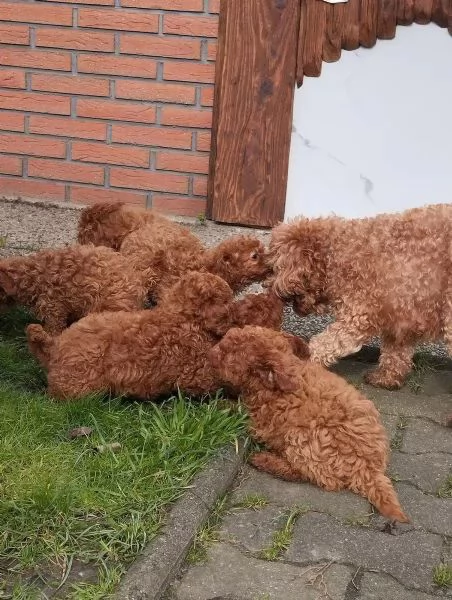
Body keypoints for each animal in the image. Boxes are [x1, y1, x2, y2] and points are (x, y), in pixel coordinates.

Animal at [210, 326, 408, 524]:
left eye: (227, 353)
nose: (211, 352)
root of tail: (369, 469)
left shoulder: (259, 418)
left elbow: (236, 410)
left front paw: (218, 405)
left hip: (303, 439)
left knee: (312, 475)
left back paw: (265, 460)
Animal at [268, 202, 452, 390]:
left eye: (275, 267)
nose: (269, 286)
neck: (334, 254)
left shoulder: (358, 316)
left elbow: (324, 343)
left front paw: (301, 364)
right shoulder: (398, 317)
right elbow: (395, 353)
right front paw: (386, 377)